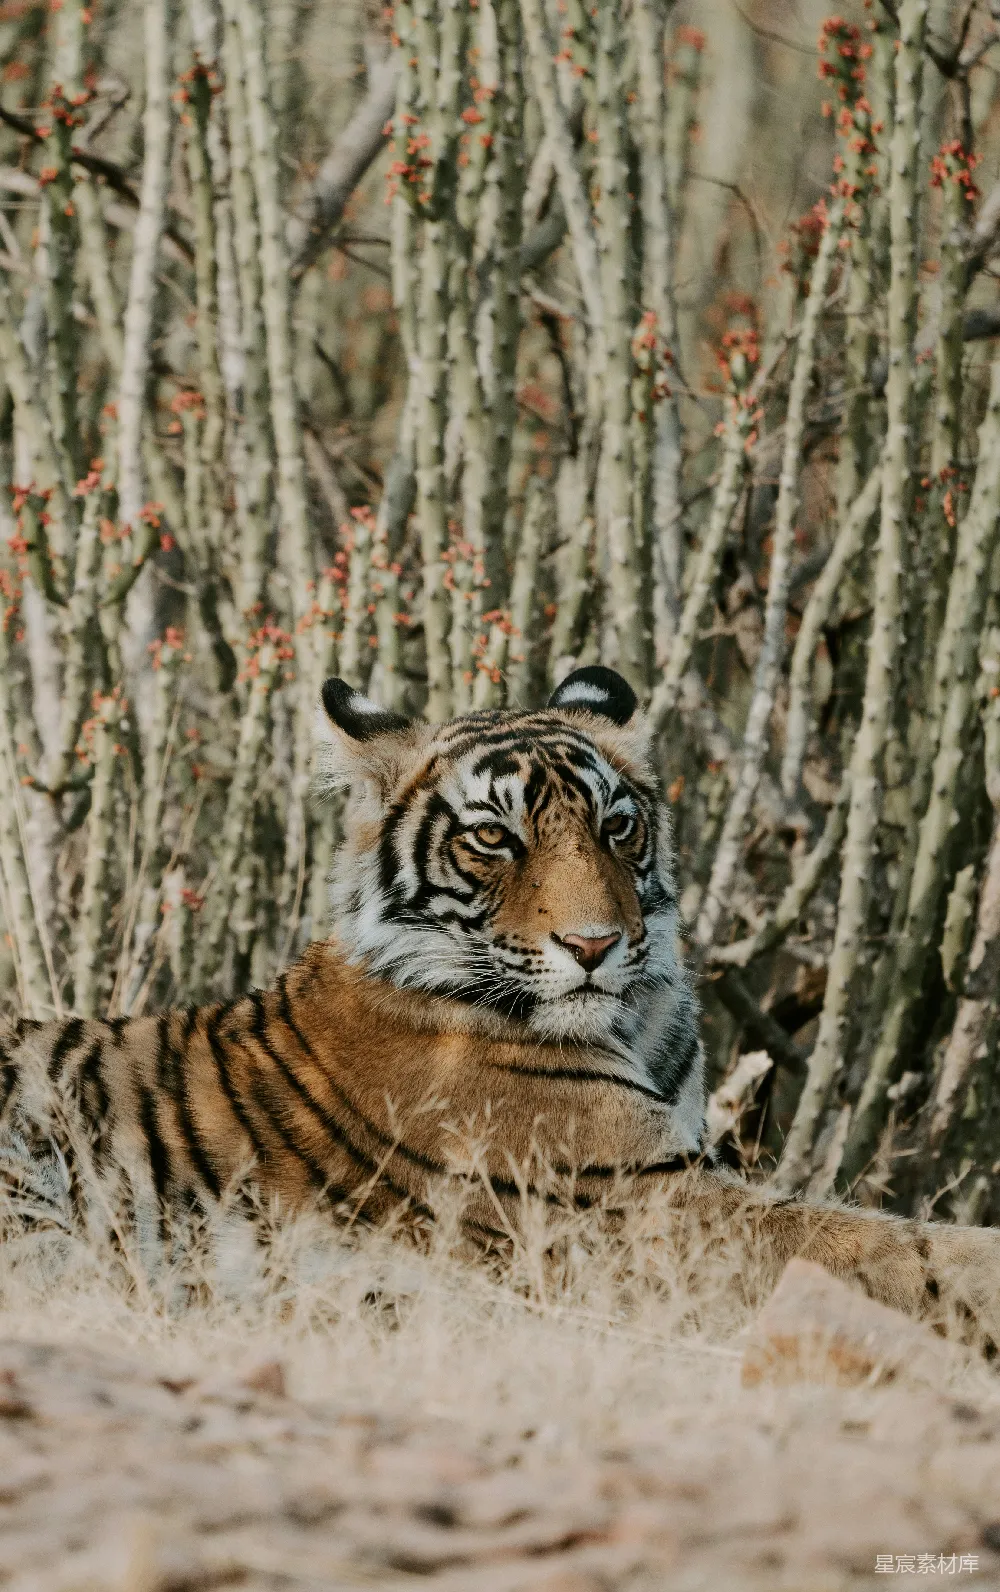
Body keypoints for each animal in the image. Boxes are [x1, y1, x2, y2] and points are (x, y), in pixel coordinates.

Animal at [1, 664, 999, 1325]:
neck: (636, 1020)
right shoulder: (649, 1205)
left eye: (617, 826)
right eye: (493, 838)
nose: (595, 944)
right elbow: (894, 1247)